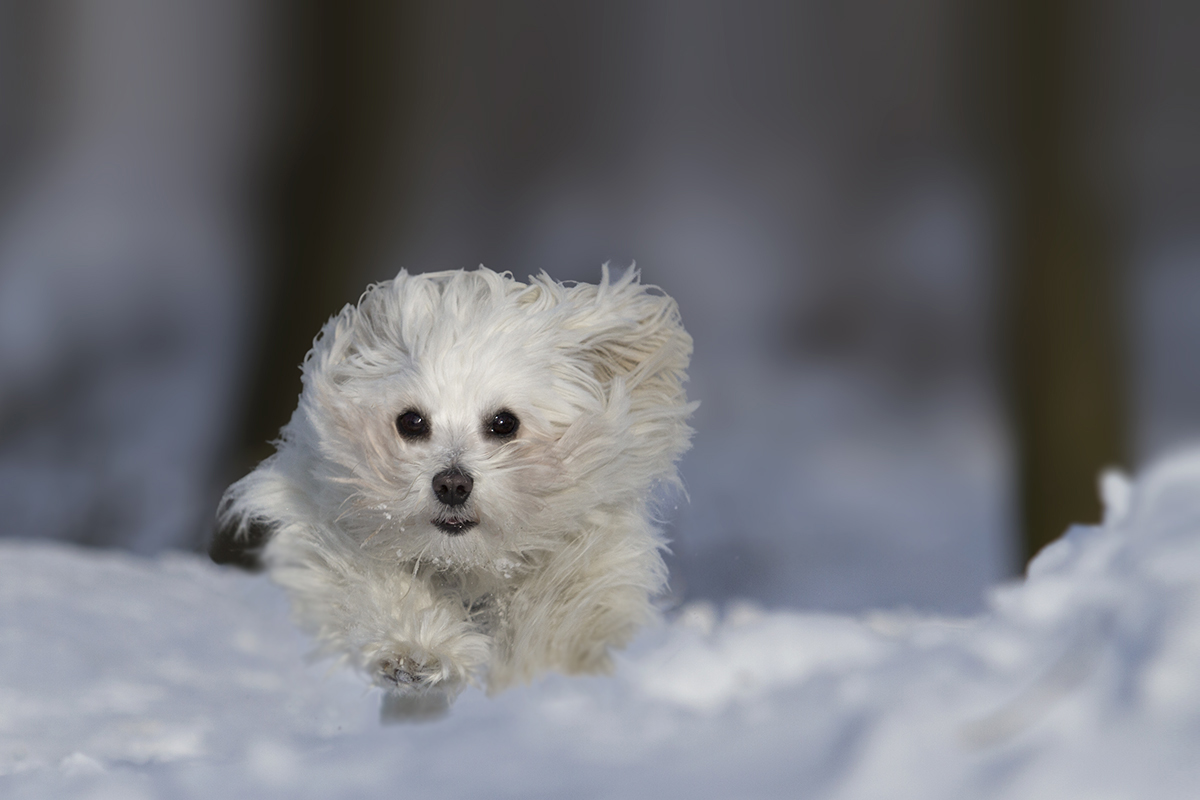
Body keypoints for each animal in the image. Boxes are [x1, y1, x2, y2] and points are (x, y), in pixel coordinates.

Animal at [211, 268, 691, 705]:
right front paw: (417, 651)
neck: (467, 567)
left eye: (504, 423)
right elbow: (373, 585)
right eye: (411, 421)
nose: (453, 485)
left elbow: (564, 615)